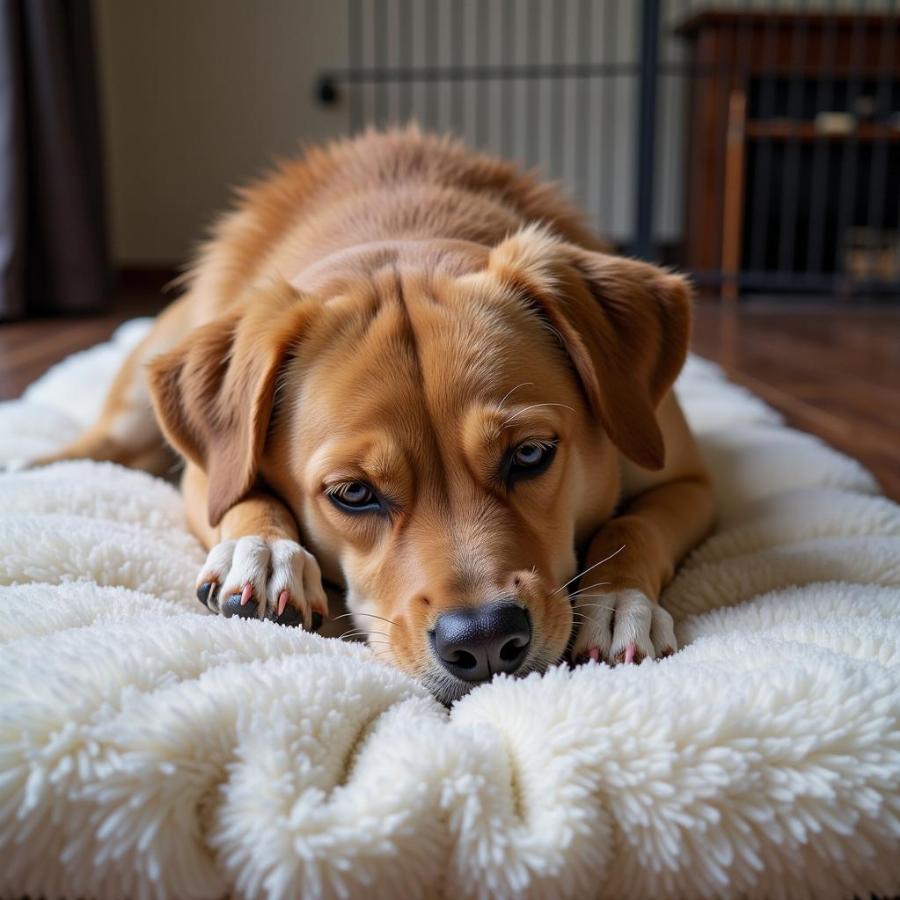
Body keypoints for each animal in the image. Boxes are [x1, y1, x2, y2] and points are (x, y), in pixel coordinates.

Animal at [37, 128, 716, 704]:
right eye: (353, 493)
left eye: (530, 454)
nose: (484, 640)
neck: (401, 235)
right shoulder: (205, 473)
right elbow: (238, 495)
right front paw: (264, 550)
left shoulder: (689, 482)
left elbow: (635, 525)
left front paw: (616, 599)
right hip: (135, 403)